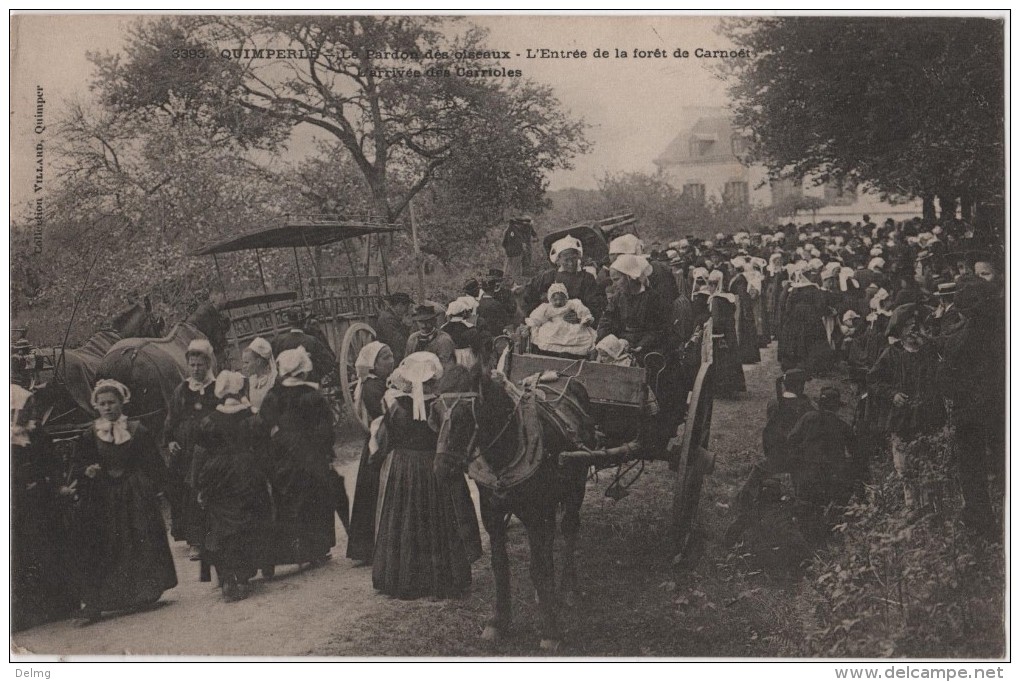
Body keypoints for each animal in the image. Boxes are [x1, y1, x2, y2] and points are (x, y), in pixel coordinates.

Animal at [432, 360, 595, 648]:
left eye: (464, 416)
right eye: (436, 415)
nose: (441, 469)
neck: (506, 450)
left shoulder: (535, 513)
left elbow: (539, 568)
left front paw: (550, 630)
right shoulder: (492, 514)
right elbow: (500, 565)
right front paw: (499, 621)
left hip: (576, 485)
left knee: (569, 529)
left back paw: (568, 587)